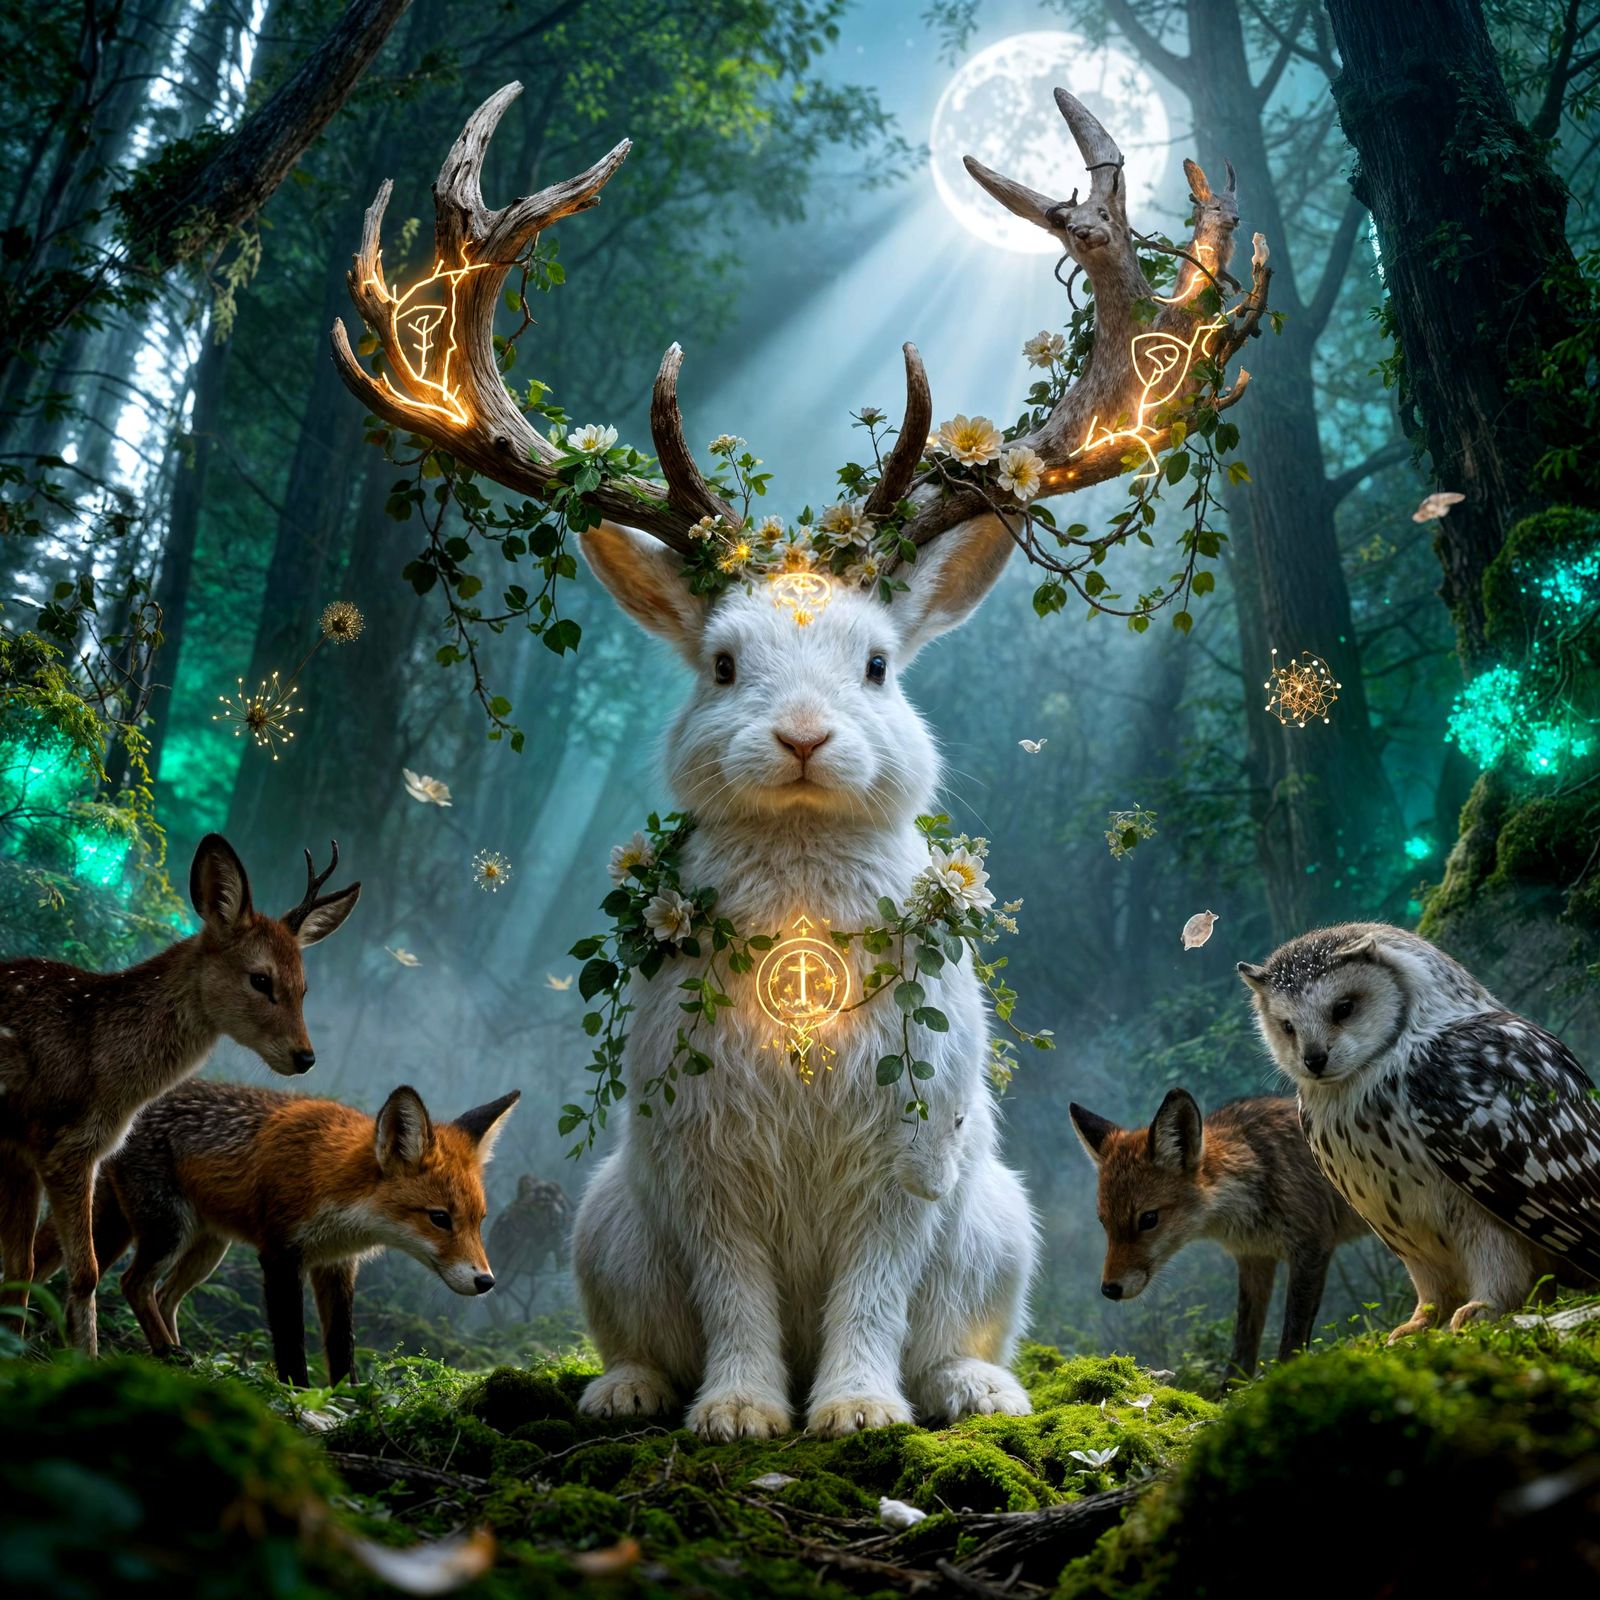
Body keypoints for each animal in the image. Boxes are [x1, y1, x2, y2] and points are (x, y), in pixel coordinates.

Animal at [571, 514, 1038, 1440]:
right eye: (722, 666)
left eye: (878, 666)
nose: (802, 739)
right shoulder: (707, 1166)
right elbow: (733, 1293)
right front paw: (740, 1413)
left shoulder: (905, 1160)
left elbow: (873, 1292)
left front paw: (857, 1412)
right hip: (610, 1236)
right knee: (648, 1346)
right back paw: (624, 1395)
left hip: (993, 1240)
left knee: (946, 1347)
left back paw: (980, 1392)